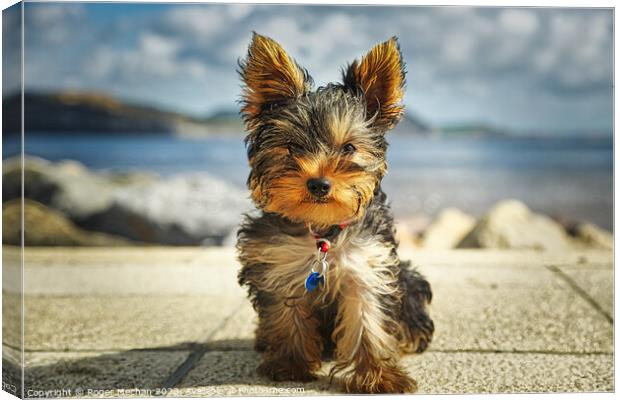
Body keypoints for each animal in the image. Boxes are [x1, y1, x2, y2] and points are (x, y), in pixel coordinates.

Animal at [235, 33, 434, 394]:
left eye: (349, 148)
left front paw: (380, 376)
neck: (322, 230)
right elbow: (287, 314)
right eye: (293, 148)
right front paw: (291, 364)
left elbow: (368, 319)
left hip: (408, 280)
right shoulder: (278, 264)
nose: (318, 184)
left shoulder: (368, 265)